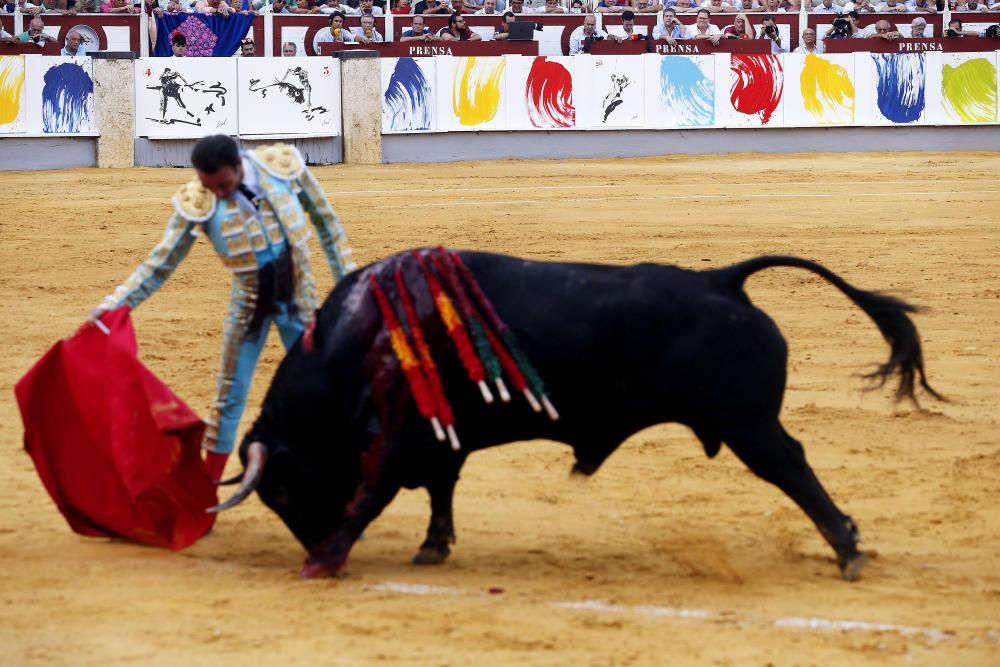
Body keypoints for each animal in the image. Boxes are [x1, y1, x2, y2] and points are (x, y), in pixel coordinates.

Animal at [211, 250, 936, 580]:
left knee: (794, 469)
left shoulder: (394, 441)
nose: (311, 550)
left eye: (282, 489)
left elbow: (371, 496)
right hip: (747, 423)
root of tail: (722, 280)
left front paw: (330, 558)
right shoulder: (442, 443)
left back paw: (847, 548)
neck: (361, 336)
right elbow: (442, 491)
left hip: (748, 425)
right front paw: (432, 546)